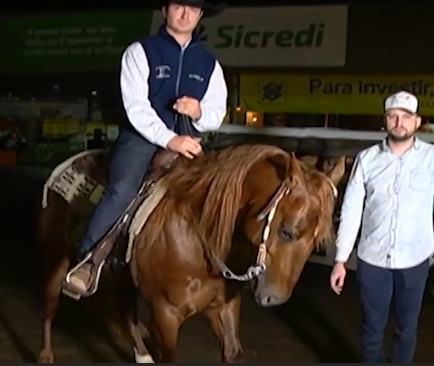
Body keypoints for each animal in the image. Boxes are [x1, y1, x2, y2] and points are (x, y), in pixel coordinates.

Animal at [38, 144, 346, 362]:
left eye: (318, 243)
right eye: (287, 232)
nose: (275, 299)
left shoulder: (224, 307)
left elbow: (232, 352)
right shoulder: (165, 317)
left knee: (126, 312)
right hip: (58, 256)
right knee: (51, 301)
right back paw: (46, 354)